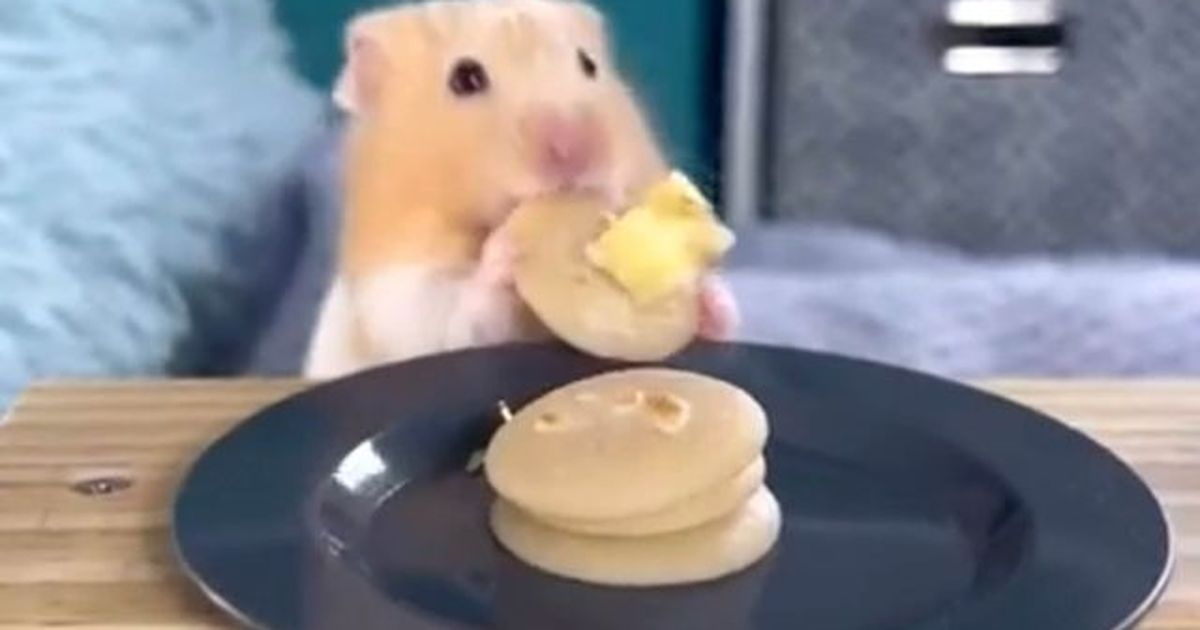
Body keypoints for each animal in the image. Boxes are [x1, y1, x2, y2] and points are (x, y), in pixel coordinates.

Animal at [304, 0, 738, 379]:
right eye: (465, 78)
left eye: (589, 64)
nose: (574, 150)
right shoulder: (402, 299)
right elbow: (461, 316)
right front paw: (506, 249)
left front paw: (708, 294)